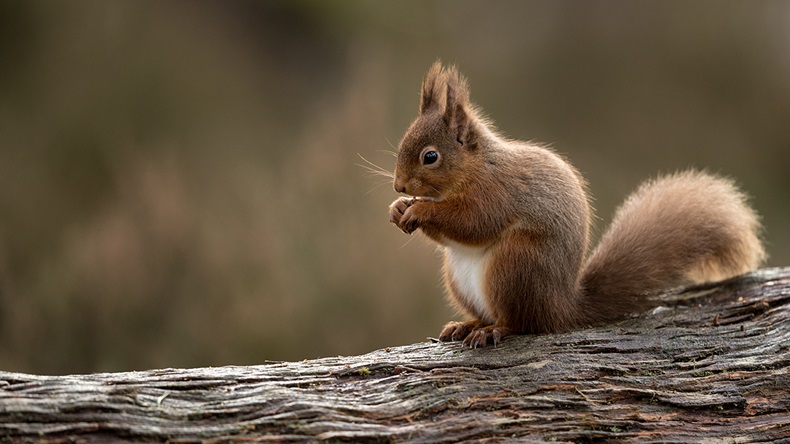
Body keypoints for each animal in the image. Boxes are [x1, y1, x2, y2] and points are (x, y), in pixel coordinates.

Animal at [388, 62, 766, 348]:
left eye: (430, 157)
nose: (398, 185)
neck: (477, 168)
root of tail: (562, 306)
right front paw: (398, 207)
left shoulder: (497, 194)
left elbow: (472, 223)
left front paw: (420, 210)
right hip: (460, 277)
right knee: (490, 314)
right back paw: (466, 325)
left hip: (515, 264)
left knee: (522, 322)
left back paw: (493, 330)